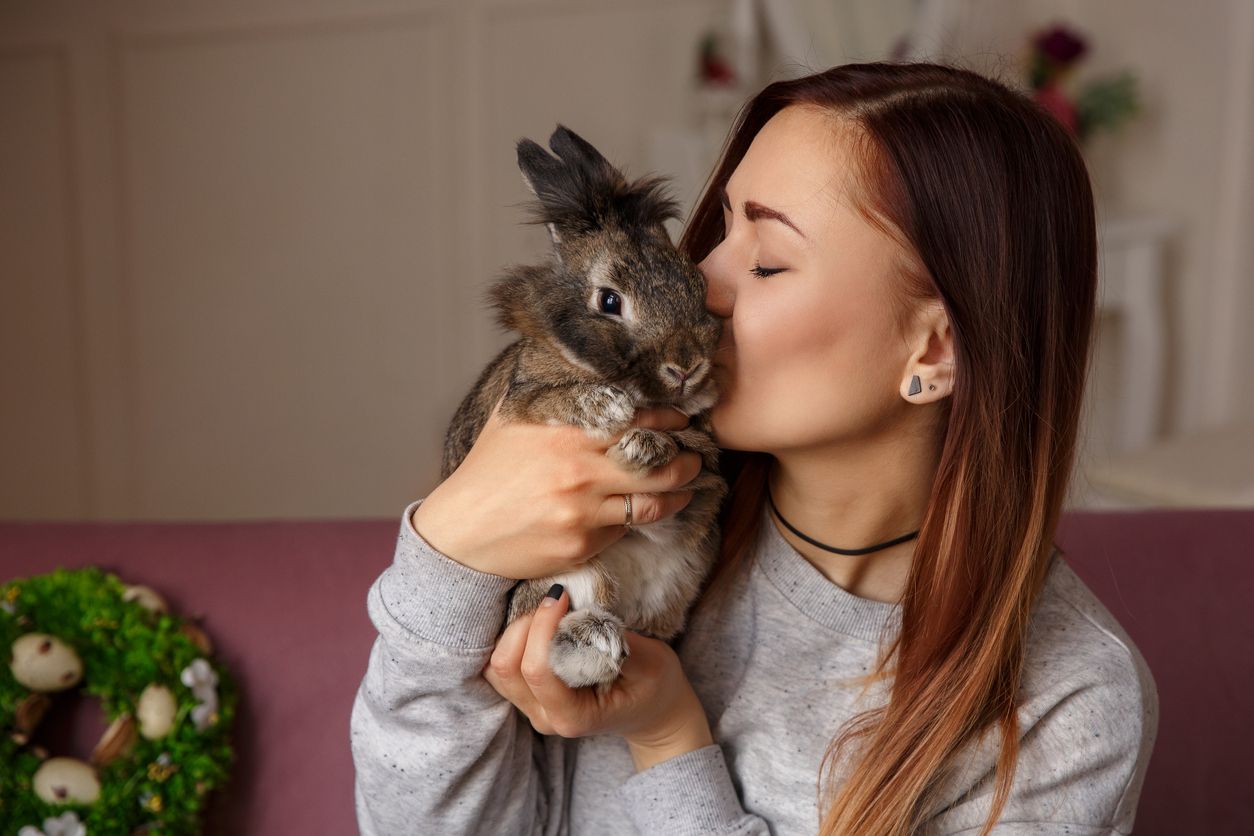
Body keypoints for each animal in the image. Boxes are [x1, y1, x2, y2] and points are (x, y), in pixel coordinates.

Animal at [439, 124, 728, 696]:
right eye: (610, 302)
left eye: (700, 286)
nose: (687, 364)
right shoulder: (523, 399)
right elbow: (553, 399)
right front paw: (615, 413)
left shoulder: (697, 483)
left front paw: (648, 444)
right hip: (561, 579)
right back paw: (594, 640)